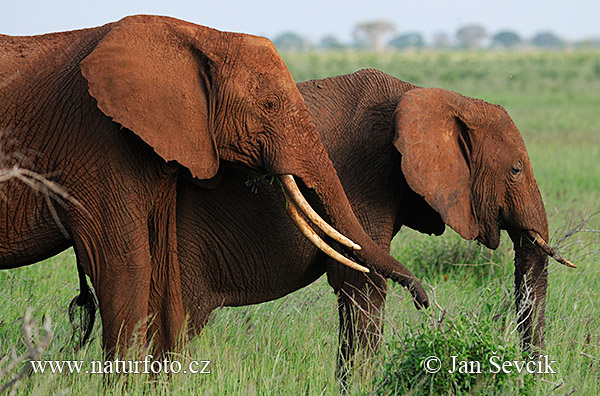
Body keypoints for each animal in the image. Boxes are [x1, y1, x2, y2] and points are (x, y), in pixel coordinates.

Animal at [0, 17, 426, 356]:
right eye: (270, 105)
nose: (423, 301)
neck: (198, 36)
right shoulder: (98, 141)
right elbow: (123, 263)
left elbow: (160, 264)